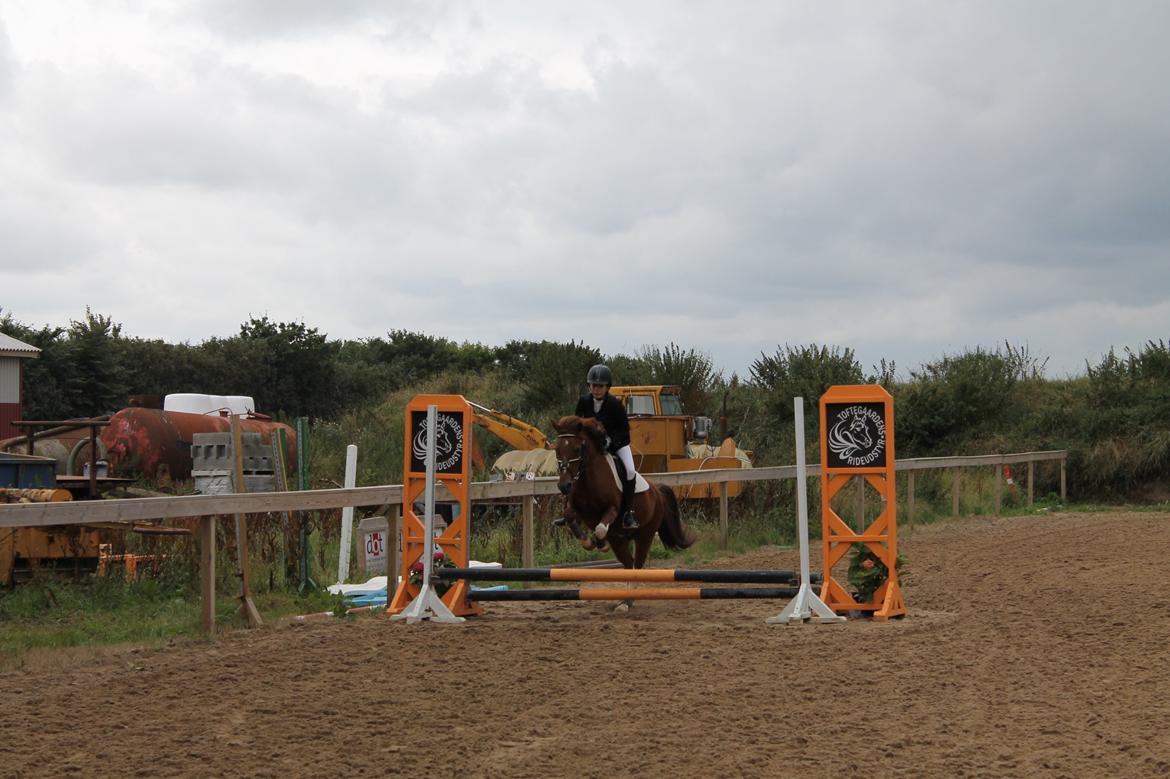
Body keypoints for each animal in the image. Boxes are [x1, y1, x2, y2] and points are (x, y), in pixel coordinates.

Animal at [549, 411, 687, 575]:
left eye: (577, 448)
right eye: (556, 449)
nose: (564, 485)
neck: (588, 480)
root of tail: (656, 491)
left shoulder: (612, 509)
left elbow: (600, 529)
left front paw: (601, 544)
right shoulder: (577, 509)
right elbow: (569, 515)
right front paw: (587, 541)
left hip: (645, 535)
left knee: (637, 564)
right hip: (620, 540)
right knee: (628, 563)